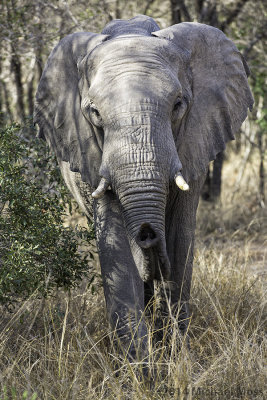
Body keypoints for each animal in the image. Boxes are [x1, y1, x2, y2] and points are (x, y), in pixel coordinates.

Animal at [34, 14, 254, 360]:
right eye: (94, 113)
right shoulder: (91, 154)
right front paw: (137, 367)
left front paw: (172, 360)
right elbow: (116, 246)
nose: (148, 233)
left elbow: (179, 240)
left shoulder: (193, 140)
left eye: (178, 104)